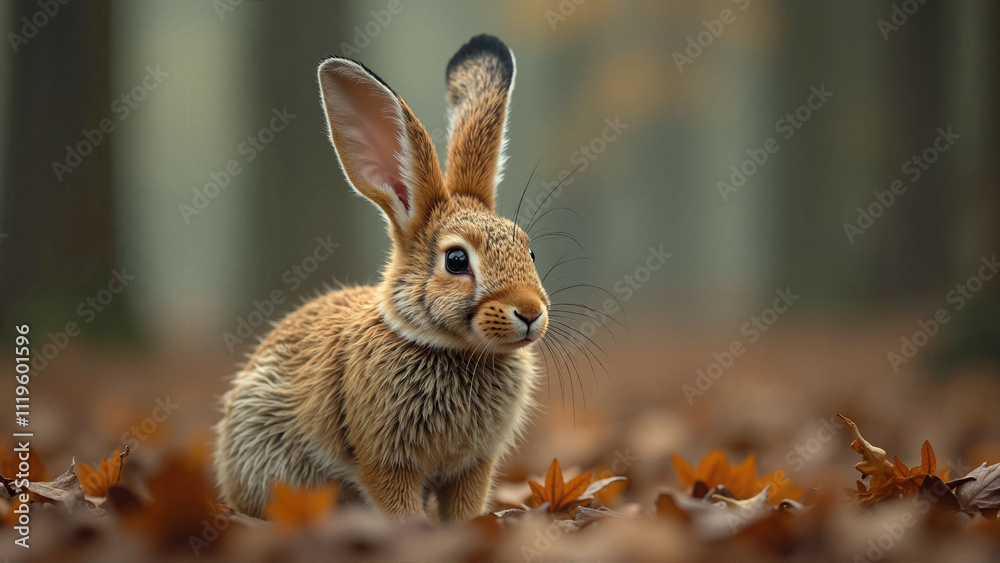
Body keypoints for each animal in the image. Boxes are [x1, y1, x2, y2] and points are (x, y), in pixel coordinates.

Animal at [214, 34, 549, 521]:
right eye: (456, 260)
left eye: (530, 251)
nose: (529, 312)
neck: (450, 348)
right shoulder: (384, 461)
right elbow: (398, 506)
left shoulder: (474, 465)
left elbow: (465, 508)